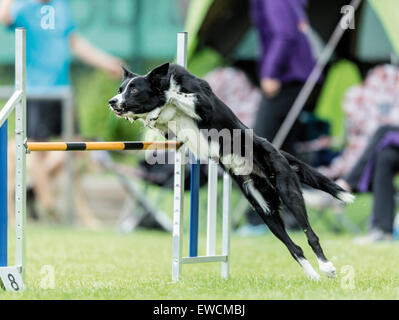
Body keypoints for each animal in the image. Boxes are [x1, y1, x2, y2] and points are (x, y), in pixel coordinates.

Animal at [108, 62, 354, 280]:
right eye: (120, 89)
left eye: (134, 90)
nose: (112, 102)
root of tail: (278, 150)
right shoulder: (171, 134)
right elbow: (160, 117)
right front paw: (147, 115)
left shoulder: (203, 105)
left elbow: (175, 96)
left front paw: (161, 102)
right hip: (265, 211)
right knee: (294, 248)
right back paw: (314, 276)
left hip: (289, 192)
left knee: (311, 235)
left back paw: (327, 268)